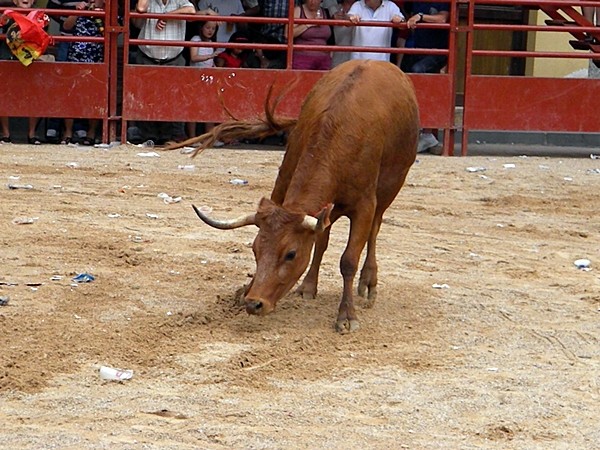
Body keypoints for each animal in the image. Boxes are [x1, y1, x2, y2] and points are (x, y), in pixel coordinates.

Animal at [180, 60, 420, 330]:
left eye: (291, 254)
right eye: (255, 249)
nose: (255, 303)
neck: (340, 131)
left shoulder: (365, 205)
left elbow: (348, 260)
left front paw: (347, 315)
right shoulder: (286, 183)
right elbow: (317, 240)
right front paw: (246, 289)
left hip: (390, 188)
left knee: (374, 231)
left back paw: (368, 282)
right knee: (322, 239)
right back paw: (308, 286)